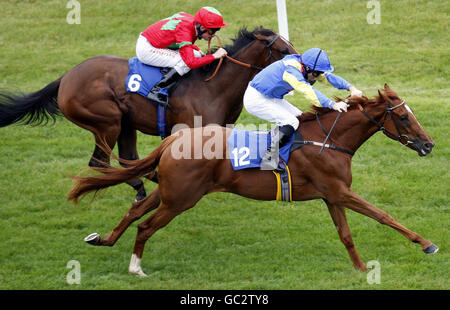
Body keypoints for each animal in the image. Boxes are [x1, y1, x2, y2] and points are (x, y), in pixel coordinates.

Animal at [0, 27, 298, 201]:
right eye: (283, 49)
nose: (305, 68)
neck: (211, 84)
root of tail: (66, 78)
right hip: (107, 123)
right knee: (101, 162)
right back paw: (145, 182)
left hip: (125, 124)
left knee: (127, 159)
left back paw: (142, 187)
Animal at [68, 83, 438, 276]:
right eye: (404, 117)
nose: (429, 144)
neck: (328, 139)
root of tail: (172, 140)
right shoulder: (339, 191)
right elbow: (383, 215)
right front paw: (426, 243)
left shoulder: (331, 195)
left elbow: (345, 234)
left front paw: (361, 268)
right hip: (181, 199)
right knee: (145, 225)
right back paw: (136, 268)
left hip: (169, 191)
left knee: (134, 211)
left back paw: (104, 240)